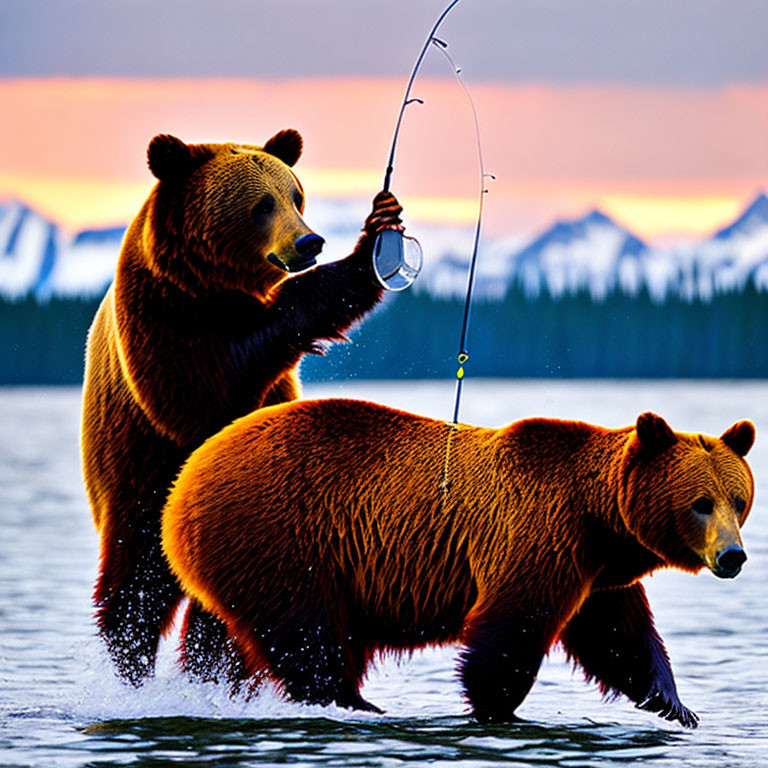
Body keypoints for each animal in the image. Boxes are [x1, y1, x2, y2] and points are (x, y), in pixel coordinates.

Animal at [83, 130, 404, 684]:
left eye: (295, 195)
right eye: (261, 204)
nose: (309, 242)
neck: (210, 285)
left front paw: (382, 224)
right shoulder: (165, 330)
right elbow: (222, 374)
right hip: (133, 473)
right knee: (136, 583)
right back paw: (138, 664)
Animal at [162, 400, 756, 728]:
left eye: (739, 498)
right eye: (700, 502)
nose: (733, 556)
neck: (599, 517)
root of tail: (186, 478)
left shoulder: (596, 570)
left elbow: (619, 635)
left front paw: (675, 704)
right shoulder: (539, 535)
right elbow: (512, 628)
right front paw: (494, 706)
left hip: (237, 556)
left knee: (220, 639)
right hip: (282, 534)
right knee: (306, 632)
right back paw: (356, 702)